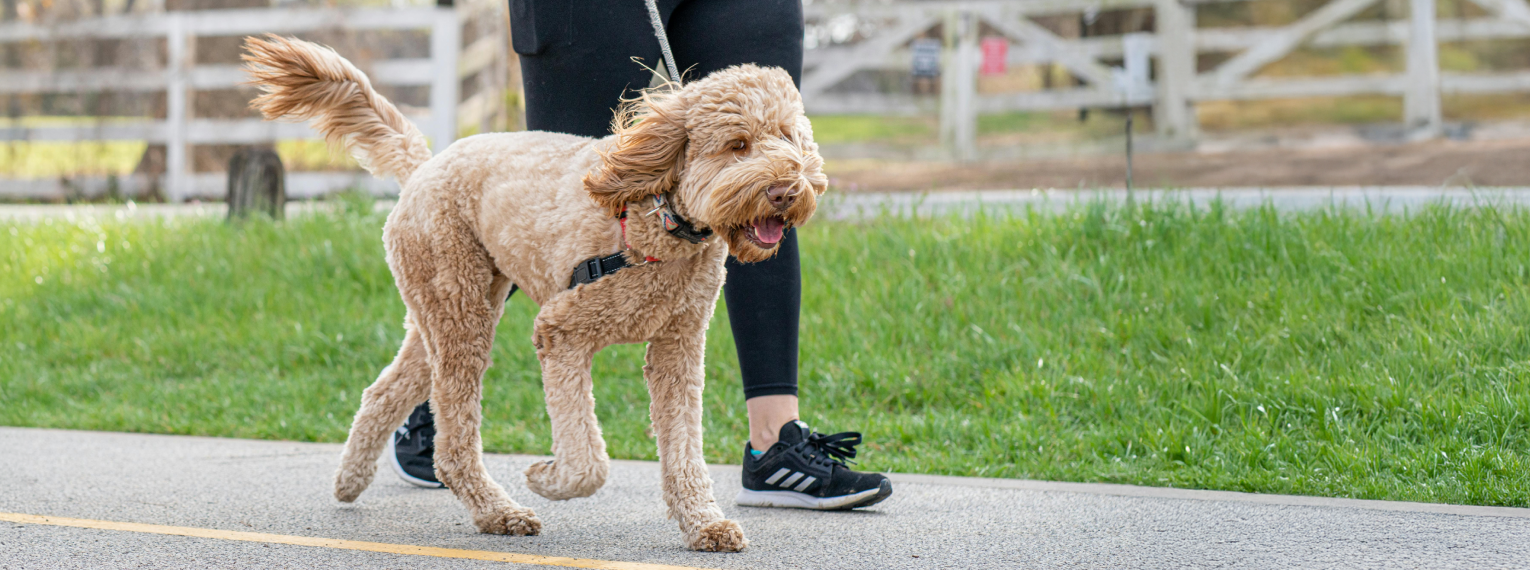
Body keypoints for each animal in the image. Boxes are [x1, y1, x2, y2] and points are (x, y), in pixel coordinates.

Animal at [246, 35, 832, 550]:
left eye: (788, 138)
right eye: (738, 145)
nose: (788, 190)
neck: (659, 218)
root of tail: (425, 166)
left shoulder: (678, 349)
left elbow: (684, 449)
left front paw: (703, 523)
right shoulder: (562, 332)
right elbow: (588, 461)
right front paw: (547, 478)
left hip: (450, 308)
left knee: (384, 392)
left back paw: (350, 479)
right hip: (460, 311)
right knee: (452, 440)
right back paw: (497, 512)